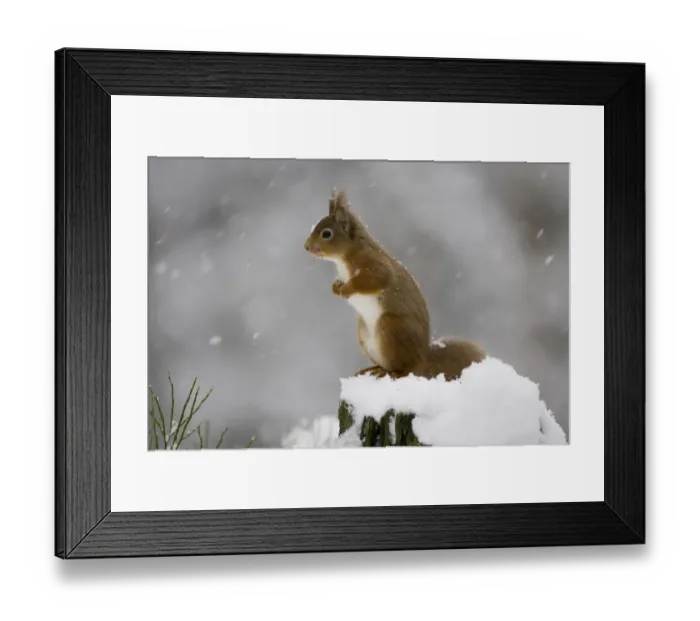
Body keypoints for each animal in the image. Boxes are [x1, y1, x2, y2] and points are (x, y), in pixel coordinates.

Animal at [304, 188, 486, 381]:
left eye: (326, 233)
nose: (306, 246)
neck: (345, 256)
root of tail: (422, 360)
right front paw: (336, 288)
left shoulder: (372, 264)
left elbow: (377, 279)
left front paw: (346, 289)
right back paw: (372, 369)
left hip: (391, 329)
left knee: (403, 370)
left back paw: (387, 372)